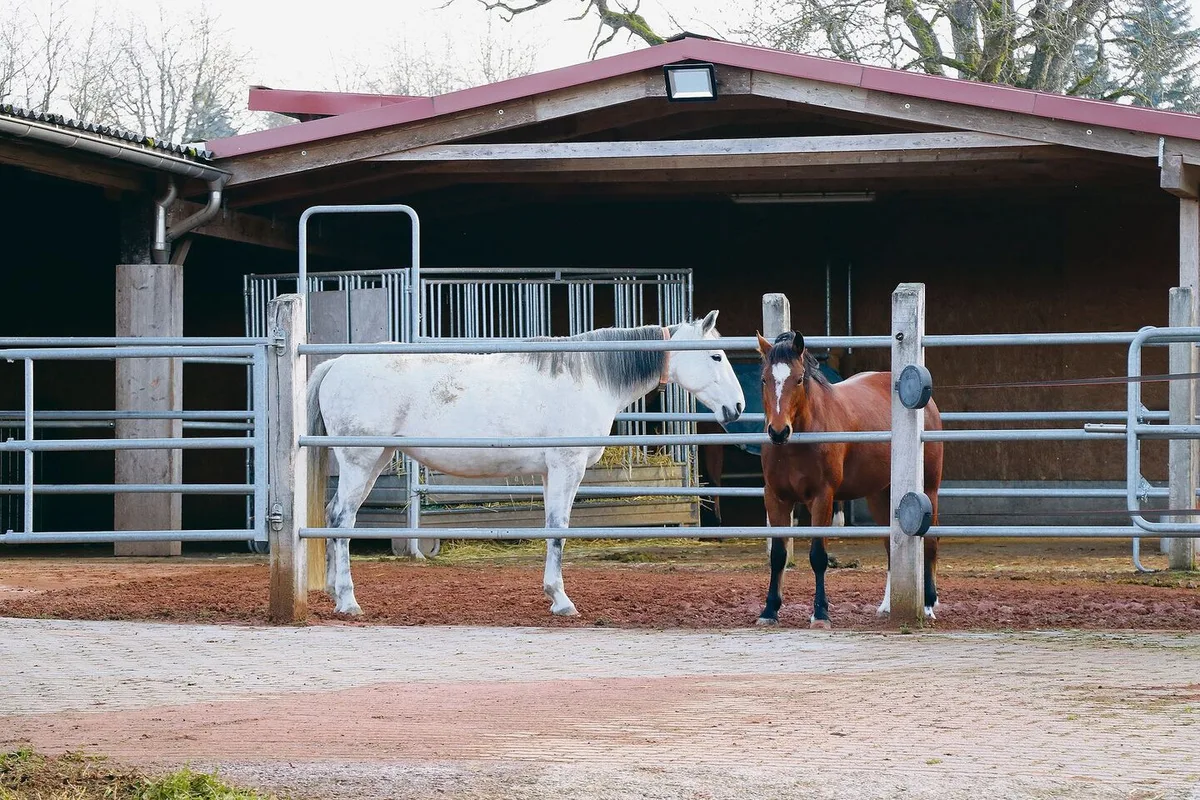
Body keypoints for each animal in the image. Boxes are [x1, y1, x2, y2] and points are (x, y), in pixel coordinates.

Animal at [307, 311, 746, 617]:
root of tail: (336, 364)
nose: (738, 407)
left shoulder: (552, 473)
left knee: (332, 515)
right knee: (342, 520)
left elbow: (552, 529)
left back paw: (333, 592)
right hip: (361, 462)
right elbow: (559, 530)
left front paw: (553, 594)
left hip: (373, 462)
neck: (589, 375)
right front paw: (562, 600)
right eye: (716, 355)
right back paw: (348, 601)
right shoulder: (568, 468)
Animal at [755, 330, 943, 629]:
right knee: (890, 547)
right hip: (880, 496)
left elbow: (818, 556)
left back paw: (927, 604)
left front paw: (821, 614)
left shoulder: (823, 498)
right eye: (764, 379)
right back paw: (887, 605)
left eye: (799, 379)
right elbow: (778, 556)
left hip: (929, 489)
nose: (778, 431)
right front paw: (769, 610)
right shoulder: (776, 498)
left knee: (931, 544)